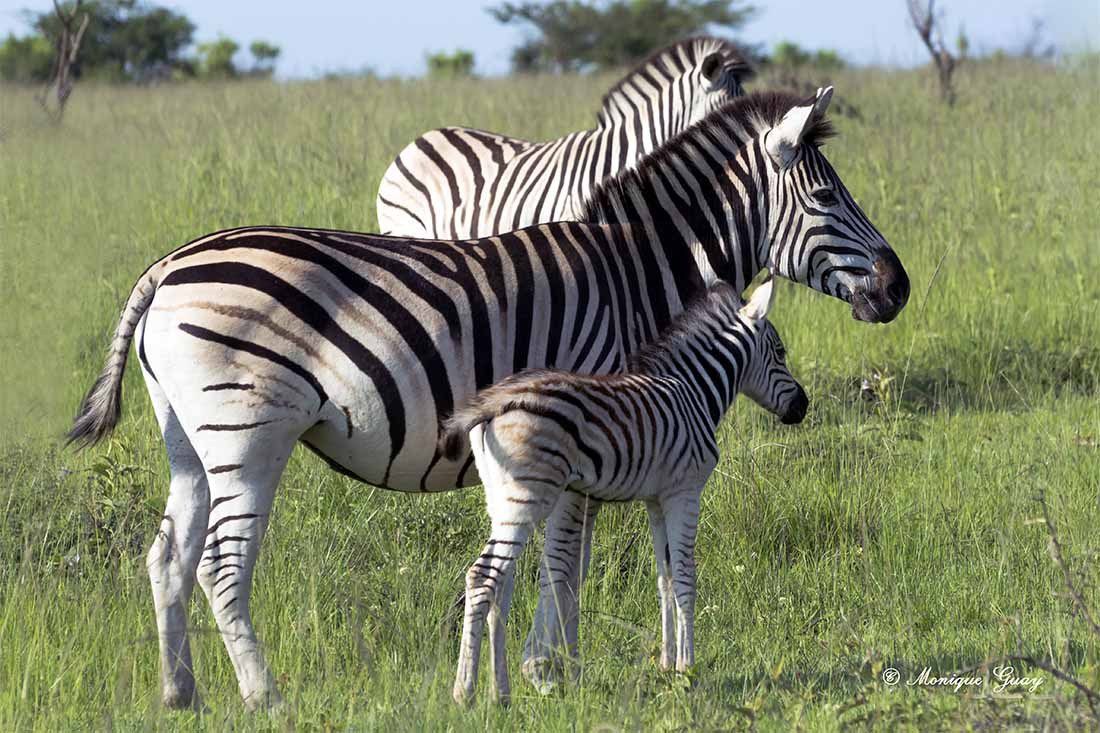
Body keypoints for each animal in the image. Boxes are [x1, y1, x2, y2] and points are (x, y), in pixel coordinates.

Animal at [437, 278, 809, 704]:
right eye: (780, 353)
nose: (803, 406)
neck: (693, 391)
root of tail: (491, 403)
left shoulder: (657, 498)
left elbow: (664, 578)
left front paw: (667, 664)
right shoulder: (686, 491)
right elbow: (685, 576)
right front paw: (688, 669)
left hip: (501, 499)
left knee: (499, 580)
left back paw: (500, 693)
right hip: (527, 497)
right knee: (482, 576)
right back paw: (464, 691)